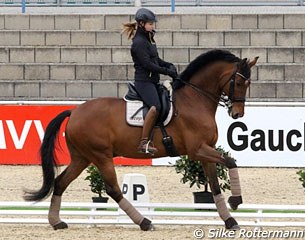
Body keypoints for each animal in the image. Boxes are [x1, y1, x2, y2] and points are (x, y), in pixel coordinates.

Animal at [23, 48, 258, 231]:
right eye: (238, 81)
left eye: (249, 83)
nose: (237, 114)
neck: (195, 100)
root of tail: (74, 111)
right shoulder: (197, 149)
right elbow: (230, 161)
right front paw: (236, 201)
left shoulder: (206, 150)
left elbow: (215, 185)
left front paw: (230, 220)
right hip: (100, 156)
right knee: (113, 189)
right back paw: (145, 222)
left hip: (82, 157)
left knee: (61, 182)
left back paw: (56, 222)